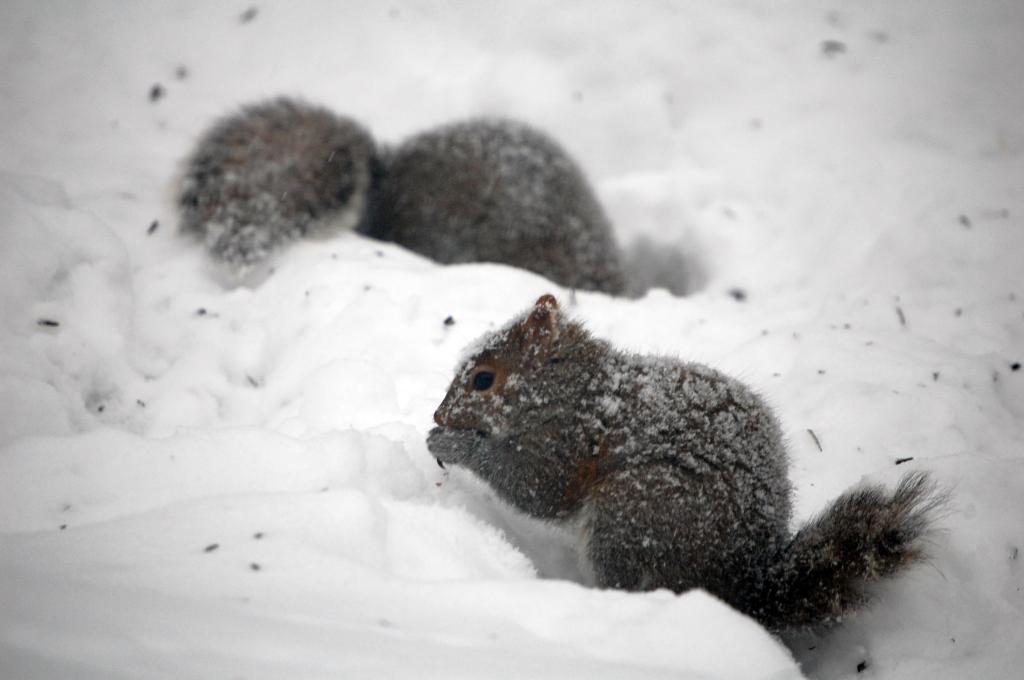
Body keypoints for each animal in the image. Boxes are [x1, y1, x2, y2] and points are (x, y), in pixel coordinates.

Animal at [427, 294, 941, 631]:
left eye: (483, 379)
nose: (438, 414)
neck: (571, 388)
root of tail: (741, 585)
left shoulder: (566, 445)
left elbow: (537, 489)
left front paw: (451, 445)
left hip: (636, 512)